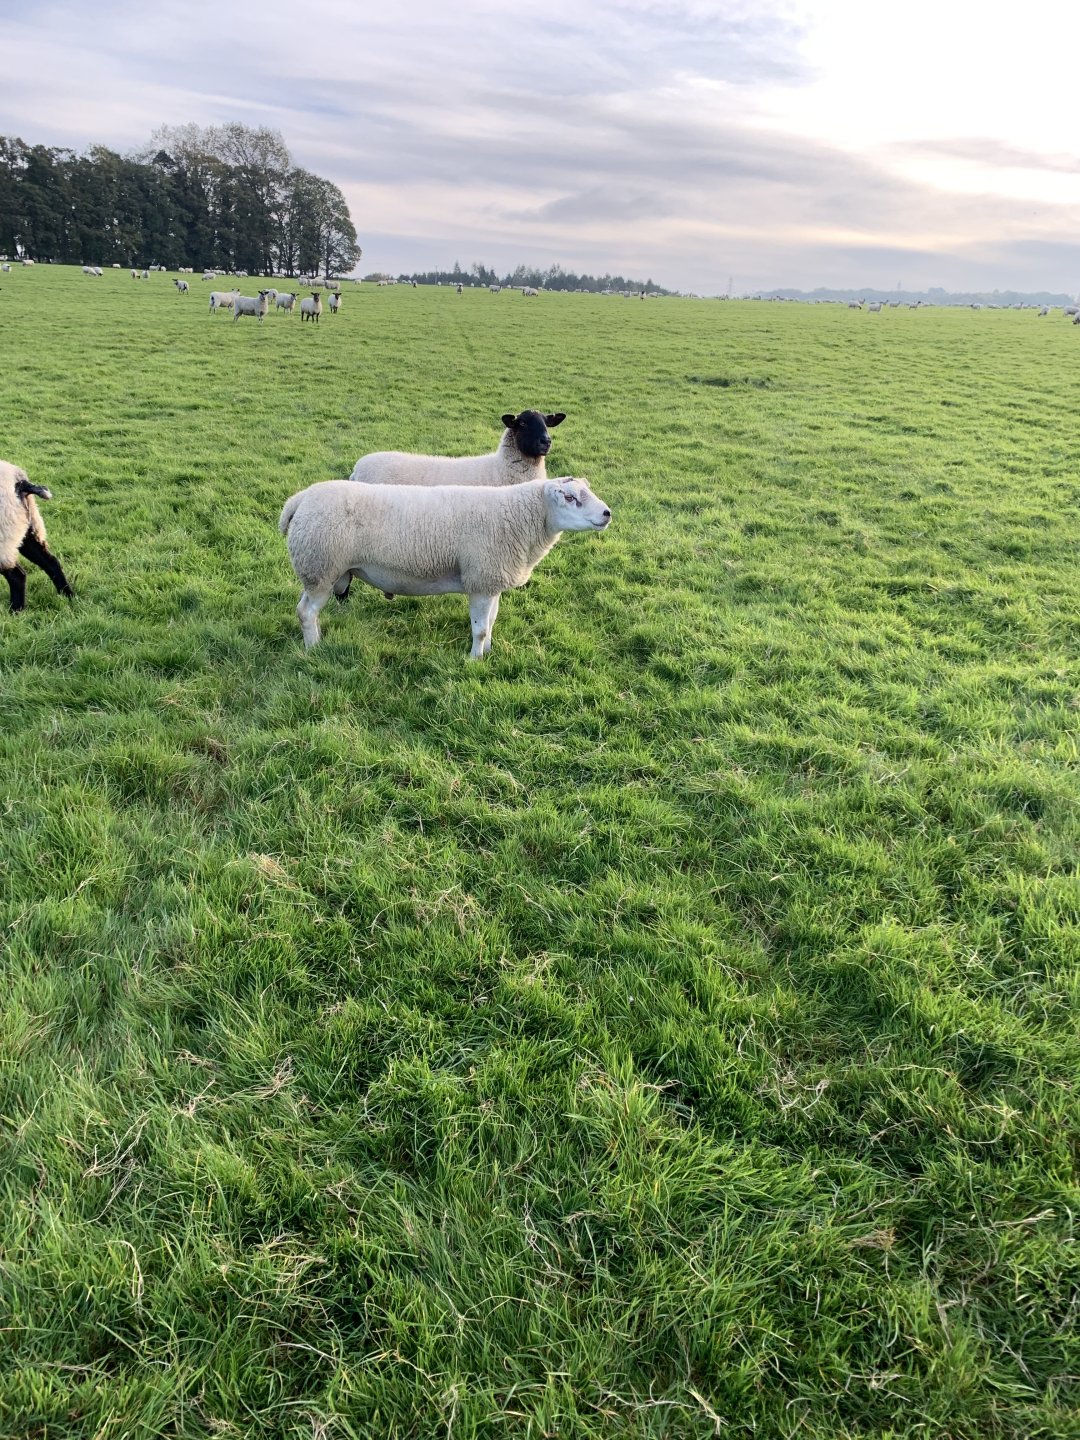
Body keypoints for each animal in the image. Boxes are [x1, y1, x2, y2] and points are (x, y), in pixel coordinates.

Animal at [1, 461, 74, 613]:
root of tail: (19, 481)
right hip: (26, 530)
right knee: (51, 563)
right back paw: (68, 596)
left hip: (5, 535)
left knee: (17, 576)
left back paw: (15, 611)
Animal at [279, 475, 611, 656]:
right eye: (569, 497)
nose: (607, 513)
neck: (520, 519)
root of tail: (300, 499)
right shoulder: (480, 581)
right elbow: (480, 629)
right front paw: (475, 660)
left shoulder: (490, 580)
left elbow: (490, 623)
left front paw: (489, 652)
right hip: (320, 567)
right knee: (305, 612)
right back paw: (313, 648)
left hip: (318, 570)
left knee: (308, 611)